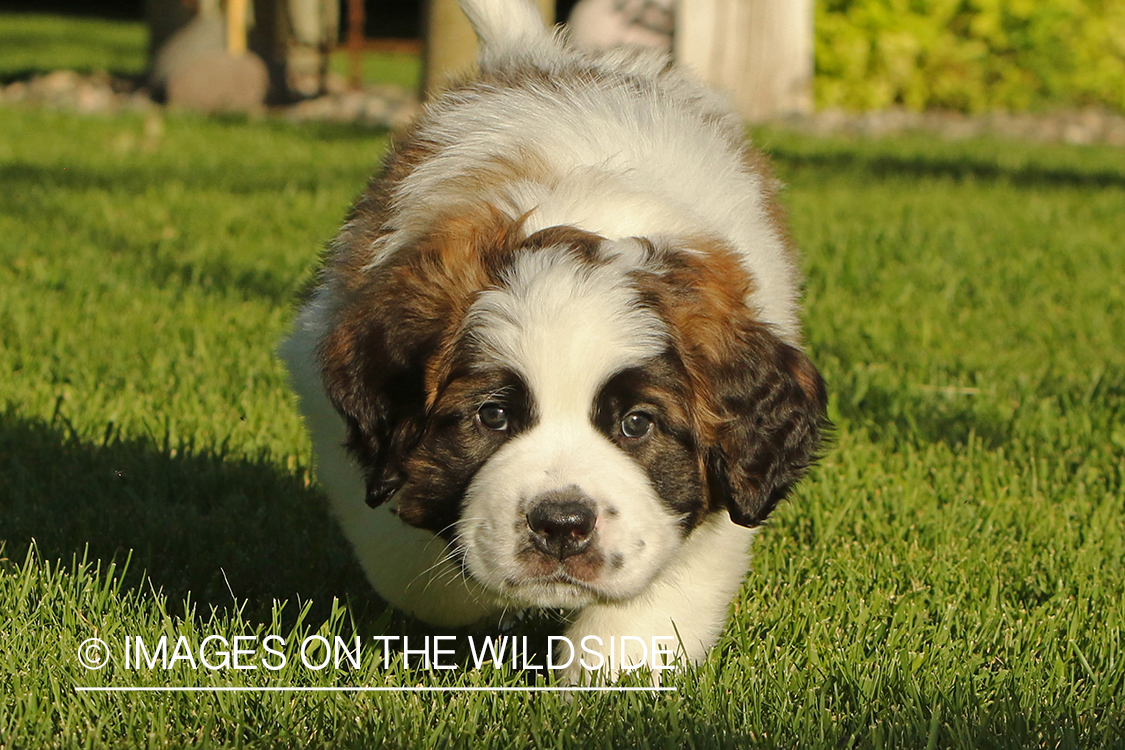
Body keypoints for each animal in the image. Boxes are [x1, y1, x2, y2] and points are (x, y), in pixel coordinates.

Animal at [281, 0, 828, 679]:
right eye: (492, 417)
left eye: (637, 424)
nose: (562, 525)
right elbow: (419, 570)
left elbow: (653, 603)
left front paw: (608, 672)